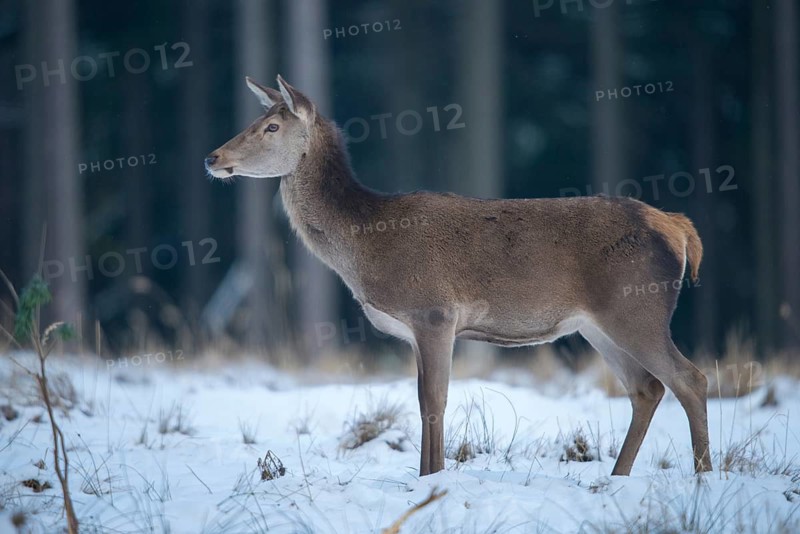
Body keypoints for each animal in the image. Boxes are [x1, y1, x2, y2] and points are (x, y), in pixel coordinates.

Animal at [205, 76, 712, 477]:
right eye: (257, 119)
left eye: (271, 127)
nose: (212, 157)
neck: (364, 248)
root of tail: (679, 228)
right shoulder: (418, 328)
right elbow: (423, 400)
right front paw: (425, 475)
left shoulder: (434, 312)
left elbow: (434, 400)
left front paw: (431, 477)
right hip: (597, 325)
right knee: (646, 388)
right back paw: (618, 476)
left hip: (637, 307)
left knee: (690, 379)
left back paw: (703, 475)